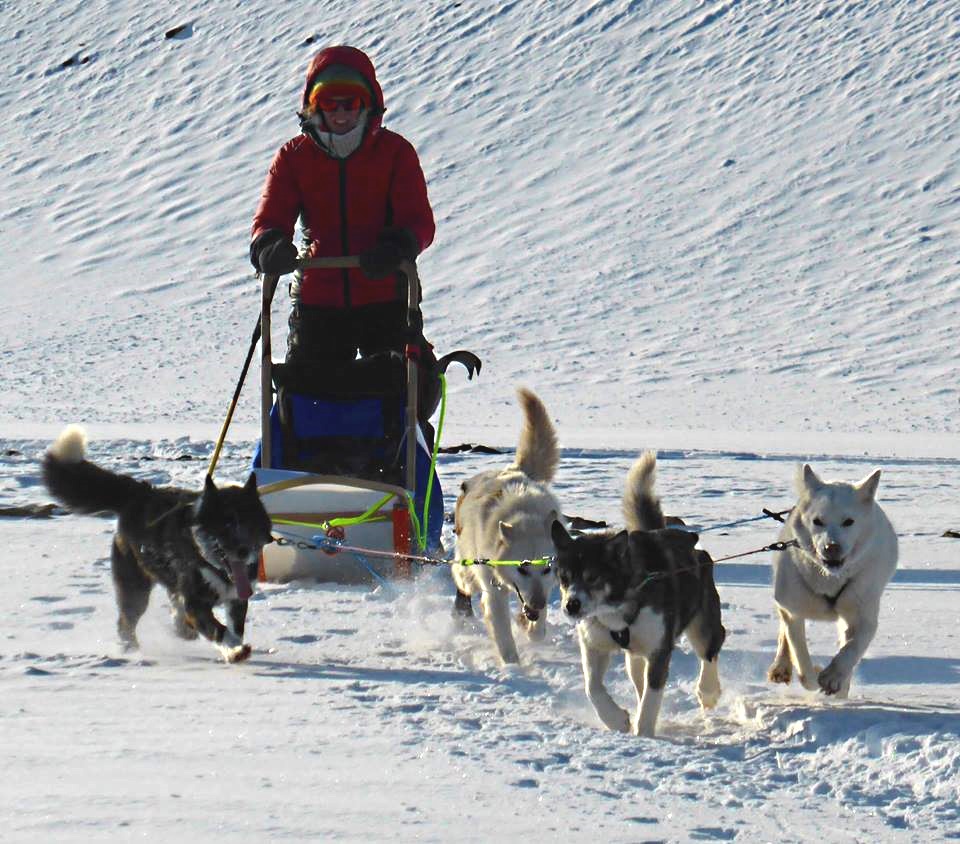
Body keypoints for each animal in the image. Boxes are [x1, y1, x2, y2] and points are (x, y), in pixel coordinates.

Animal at [43, 426, 272, 664]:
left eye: (252, 523)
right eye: (226, 523)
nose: (244, 551)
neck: (210, 561)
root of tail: (139, 493)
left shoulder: (236, 598)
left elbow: (235, 627)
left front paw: (233, 646)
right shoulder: (195, 603)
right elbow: (218, 629)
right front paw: (234, 650)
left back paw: (180, 629)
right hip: (135, 586)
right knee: (126, 622)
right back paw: (132, 651)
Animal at [452, 390, 564, 664]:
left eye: (546, 569)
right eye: (521, 569)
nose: (537, 605)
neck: (523, 513)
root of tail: (514, 468)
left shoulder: (547, 586)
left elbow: (537, 630)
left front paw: (530, 627)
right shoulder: (493, 592)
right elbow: (503, 634)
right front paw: (513, 665)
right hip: (469, 567)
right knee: (461, 578)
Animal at [552, 452, 724, 736]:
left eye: (592, 577)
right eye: (564, 577)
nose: (571, 606)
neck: (617, 609)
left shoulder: (659, 651)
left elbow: (651, 697)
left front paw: (643, 733)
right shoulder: (594, 644)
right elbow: (592, 687)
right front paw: (616, 719)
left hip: (702, 623)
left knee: (711, 646)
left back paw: (708, 690)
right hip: (634, 655)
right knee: (637, 677)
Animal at [764, 464, 900, 696]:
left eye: (849, 522)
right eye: (817, 521)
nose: (832, 548)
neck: (829, 577)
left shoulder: (863, 614)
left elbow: (852, 648)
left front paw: (834, 677)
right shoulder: (793, 610)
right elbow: (800, 657)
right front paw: (813, 674)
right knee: (784, 634)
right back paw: (781, 665)